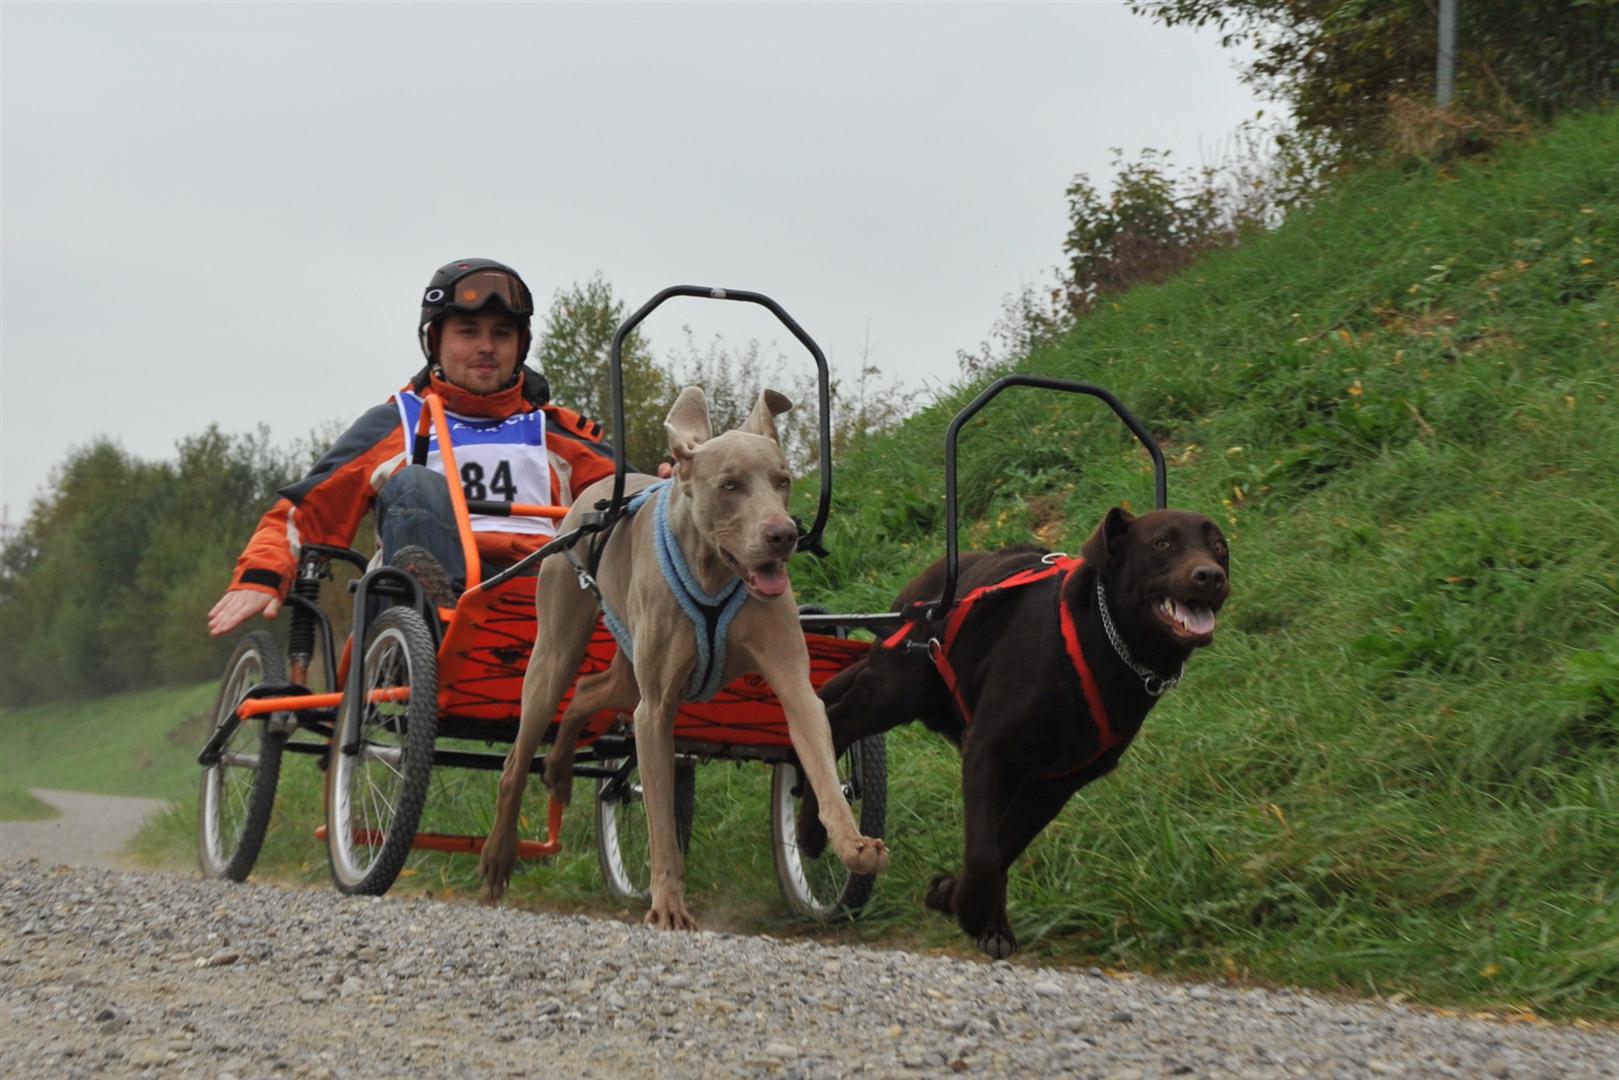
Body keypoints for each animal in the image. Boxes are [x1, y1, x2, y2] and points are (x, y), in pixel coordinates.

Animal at [479, 387, 889, 929]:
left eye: (783, 481)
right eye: (730, 485)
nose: (783, 534)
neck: (714, 573)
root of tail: (592, 494)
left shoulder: (796, 686)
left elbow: (819, 760)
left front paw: (850, 842)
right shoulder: (654, 712)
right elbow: (660, 817)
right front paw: (669, 903)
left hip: (625, 669)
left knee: (588, 691)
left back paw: (562, 771)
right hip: (556, 651)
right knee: (517, 758)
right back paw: (498, 856)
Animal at [804, 506, 1228, 957]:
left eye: (1220, 546)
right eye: (1163, 543)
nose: (1211, 575)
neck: (1102, 641)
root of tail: (917, 591)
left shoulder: (1053, 784)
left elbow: (1002, 847)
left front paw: (956, 898)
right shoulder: (986, 748)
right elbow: (985, 852)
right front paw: (969, 907)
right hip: (894, 691)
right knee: (832, 721)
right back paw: (811, 830)